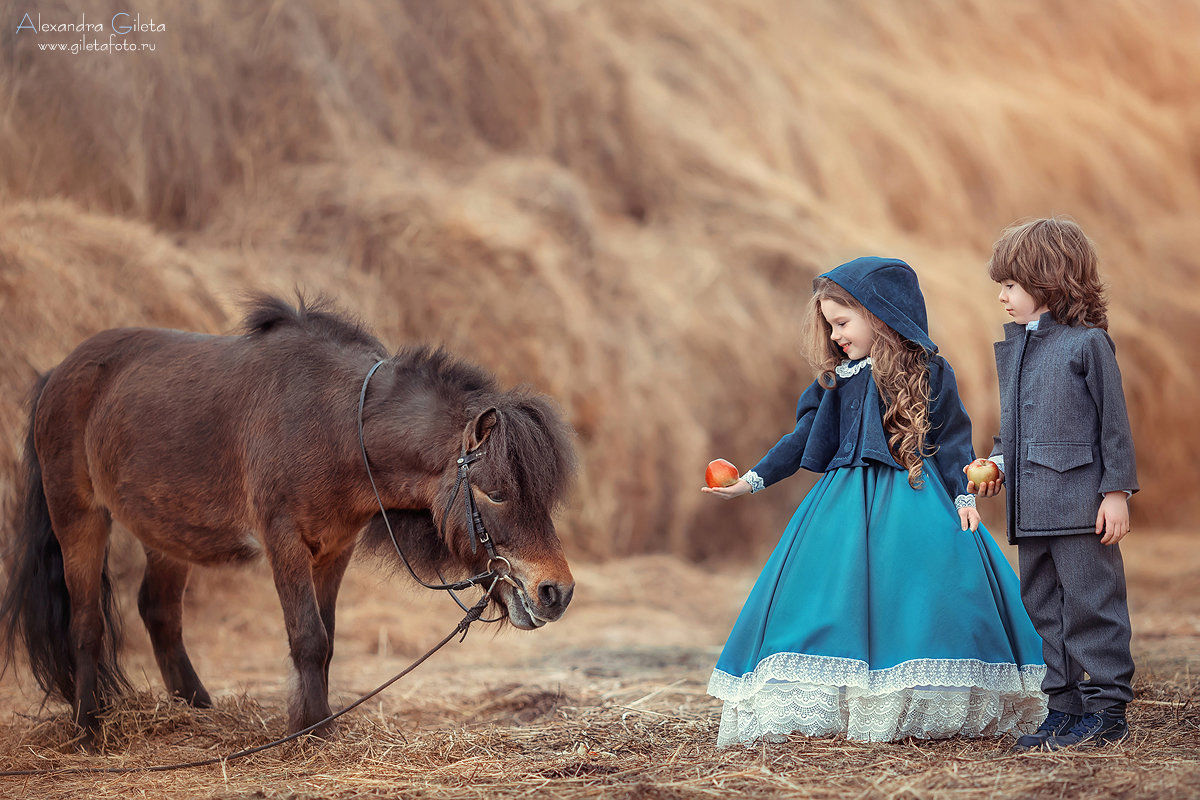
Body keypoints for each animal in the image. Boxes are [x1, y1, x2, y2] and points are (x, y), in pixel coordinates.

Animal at [0, 297, 576, 748]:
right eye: (495, 492)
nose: (557, 592)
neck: (337, 424)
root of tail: (56, 376)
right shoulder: (286, 543)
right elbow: (308, 637)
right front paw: (310, 732)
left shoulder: (335, 551)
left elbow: (328, 639)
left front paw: (317, 725)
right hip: (78, 515)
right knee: (86, 622)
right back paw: (88, 729)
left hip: (168, 534)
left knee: (158, 612)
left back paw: (198, 712)